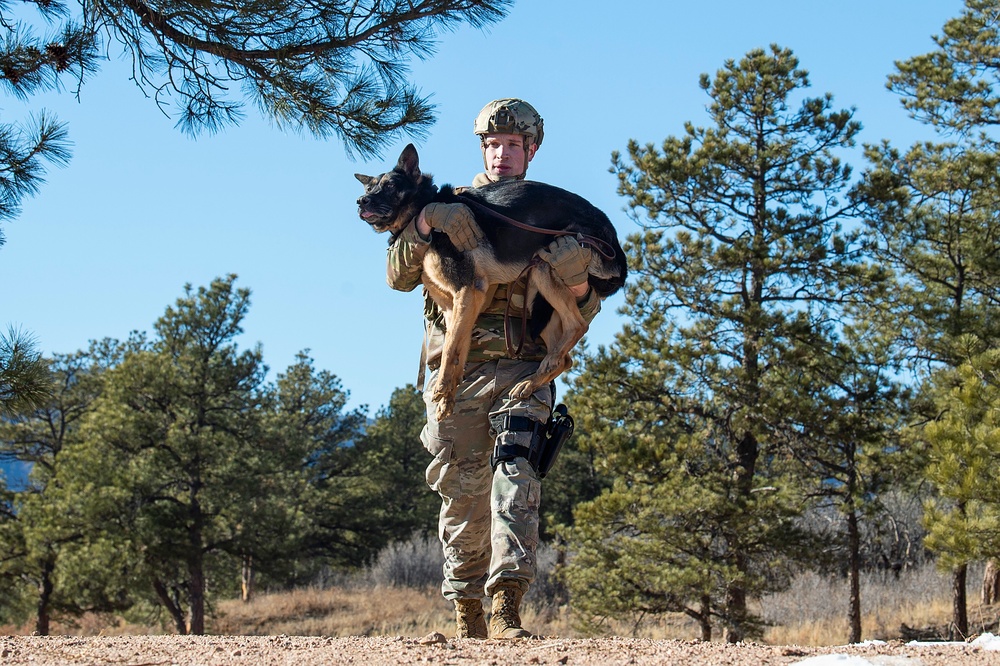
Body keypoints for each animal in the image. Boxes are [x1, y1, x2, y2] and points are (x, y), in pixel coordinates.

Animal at [356, 143, 628, 418]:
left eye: (390, 185)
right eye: (369, 189)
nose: (360, 201)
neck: (427, 204)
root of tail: (614, 244)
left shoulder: (469, 290)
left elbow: (449, 350)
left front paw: (441, 388)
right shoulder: (455, 306)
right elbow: (457, 349)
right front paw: (448, 399)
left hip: (548, 264)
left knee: (578, 325)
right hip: (537, 300)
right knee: (566, 357)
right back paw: (531, 382)